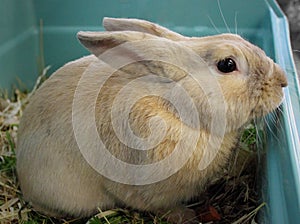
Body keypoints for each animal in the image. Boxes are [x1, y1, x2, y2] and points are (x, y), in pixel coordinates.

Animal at [15, 16, 288, 223]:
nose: (283, 81)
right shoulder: (144, 189)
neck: (174, 109)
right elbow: (161, 206)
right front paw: (187, 216)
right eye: (227, 64)